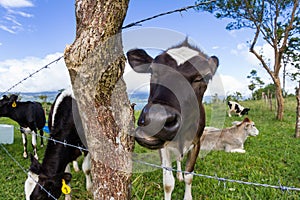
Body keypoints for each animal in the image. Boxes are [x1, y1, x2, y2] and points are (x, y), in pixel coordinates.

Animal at [126, 38, 218, 199]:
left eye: (204, 77)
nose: (157, 118)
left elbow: (189, 175)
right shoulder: (163, 147)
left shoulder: (197, 142)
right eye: (152, 70)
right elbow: (168, 183)